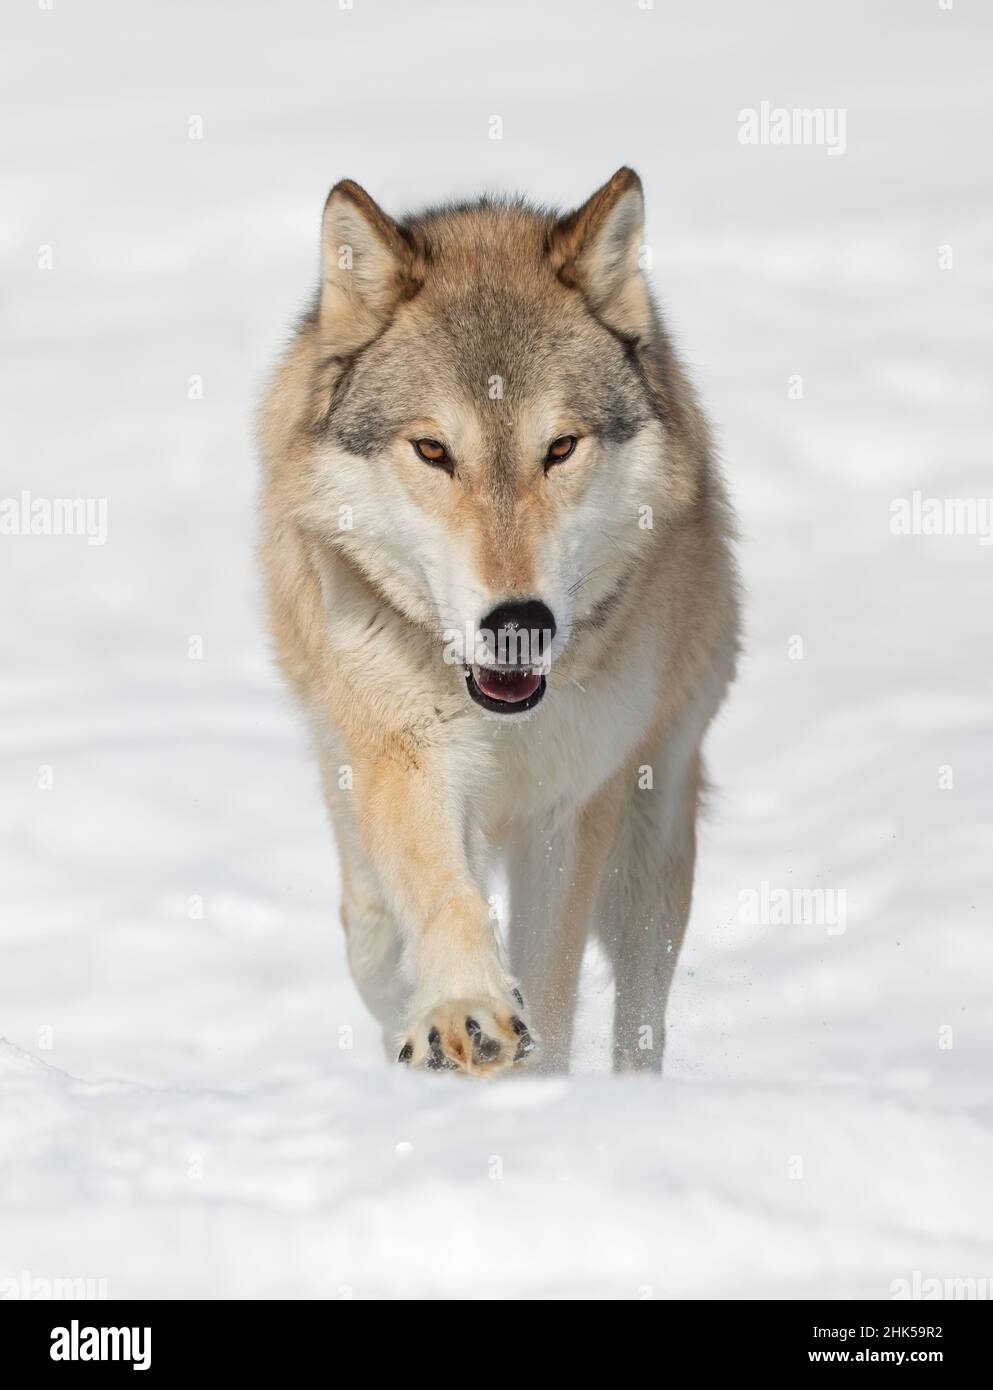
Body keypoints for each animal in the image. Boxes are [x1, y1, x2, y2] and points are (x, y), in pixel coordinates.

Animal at [258, 168, 739, 1075]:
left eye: (559, 449)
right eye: (433, 452)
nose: (519, 621)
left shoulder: (571, 806)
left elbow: (550, 981)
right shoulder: (405, 755)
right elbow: (442, 902)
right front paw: (462, 1010)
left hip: (651, 830)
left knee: (641, 1001)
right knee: (372, 930)